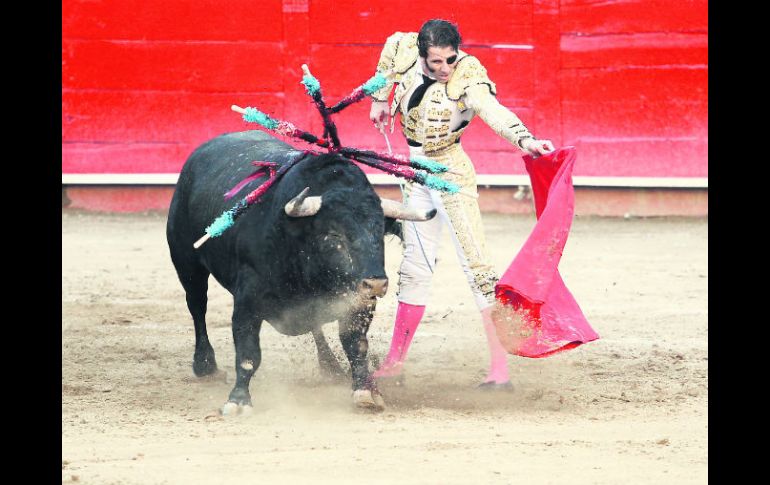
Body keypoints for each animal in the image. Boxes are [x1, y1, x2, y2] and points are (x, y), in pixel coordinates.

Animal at [166, 131, 436, 412]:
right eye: (333, 235)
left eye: (379, 232)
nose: (375, 284)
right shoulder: (247, 301)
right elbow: (248, 352)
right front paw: (238, 400)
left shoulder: (358, 302)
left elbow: (356, 345)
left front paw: (365, 390)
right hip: (187, 264)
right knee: (197, 307)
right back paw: (205, 365)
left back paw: (330, 366)